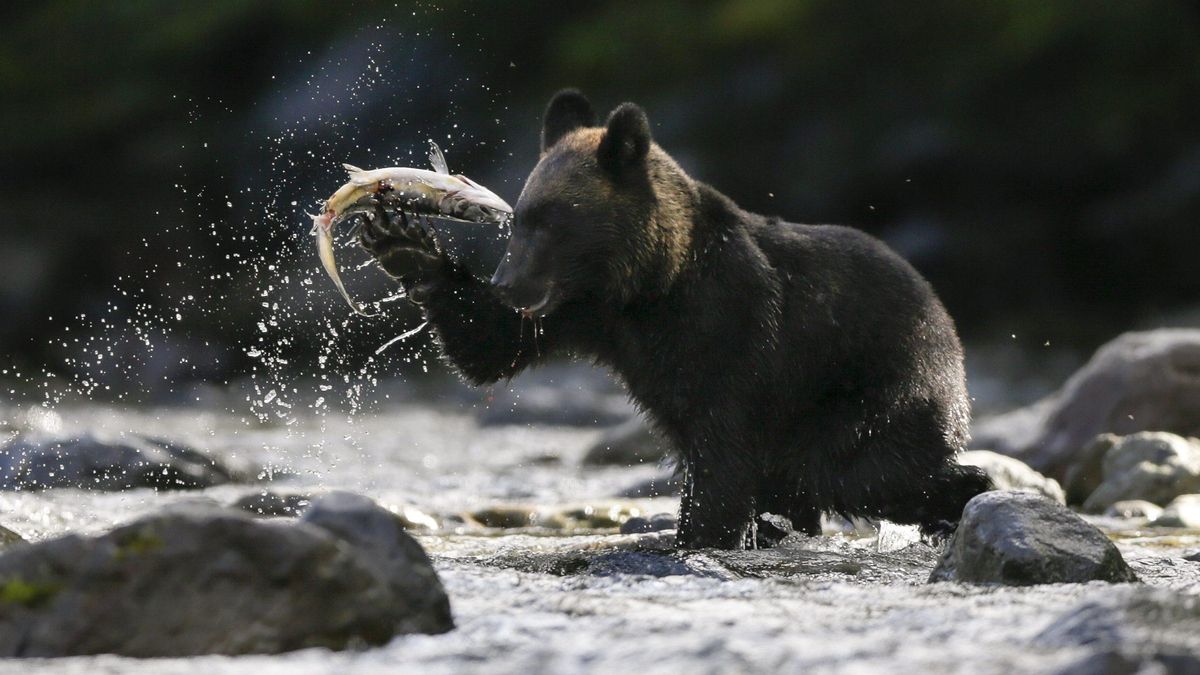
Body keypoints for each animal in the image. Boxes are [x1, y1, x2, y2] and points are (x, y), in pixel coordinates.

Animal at [358, 89, 992, 550]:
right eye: (519, 220)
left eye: (552, 220)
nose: (509, 284)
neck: (648, 286)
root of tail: (947, 321)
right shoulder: (584, 317)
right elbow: (491, 346)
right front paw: (402, 239)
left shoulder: (732, 331)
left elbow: (722, 455)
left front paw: (695, 538)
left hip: (868, 389)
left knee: (859, 468)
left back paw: (962, 499)